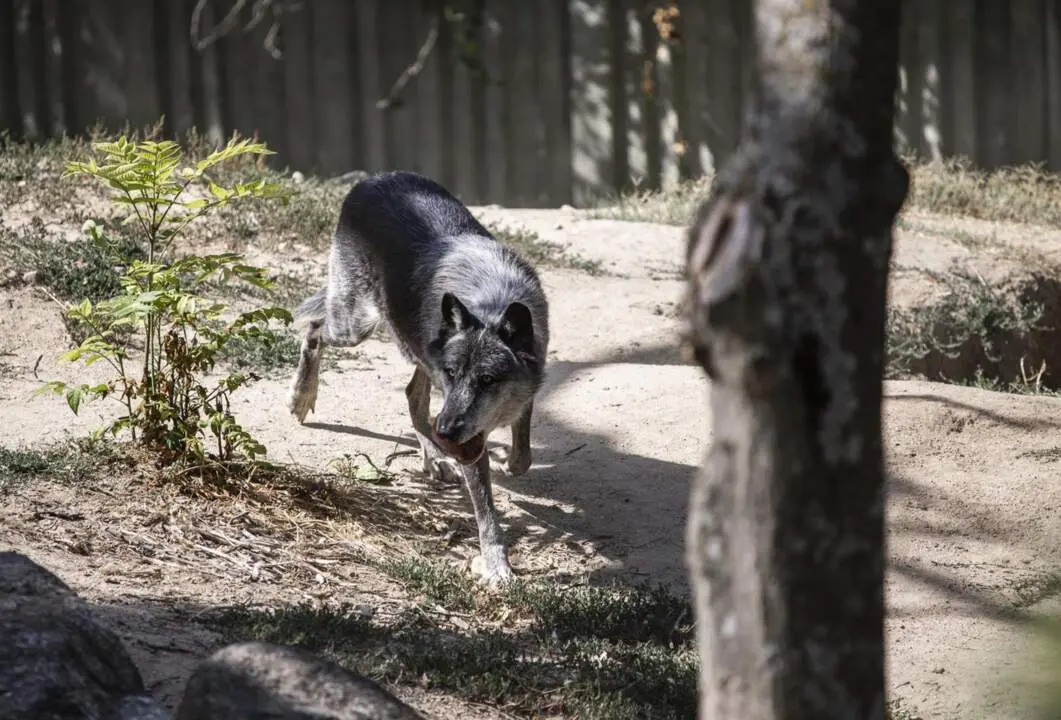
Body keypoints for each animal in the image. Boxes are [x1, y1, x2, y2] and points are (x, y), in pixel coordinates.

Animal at [286, 171, 550, 584]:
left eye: (488, 380)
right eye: (454, 373)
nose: (448, 433)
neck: (490, 301)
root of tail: (373, 178)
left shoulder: (526, 385)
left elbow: (523, 450)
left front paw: (508, 462)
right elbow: (487, 514)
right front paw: (497, 567)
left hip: (410, 346)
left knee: (413, 396)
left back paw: (435, 457)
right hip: (356, 325)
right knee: (314, 328)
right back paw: (302, 395)